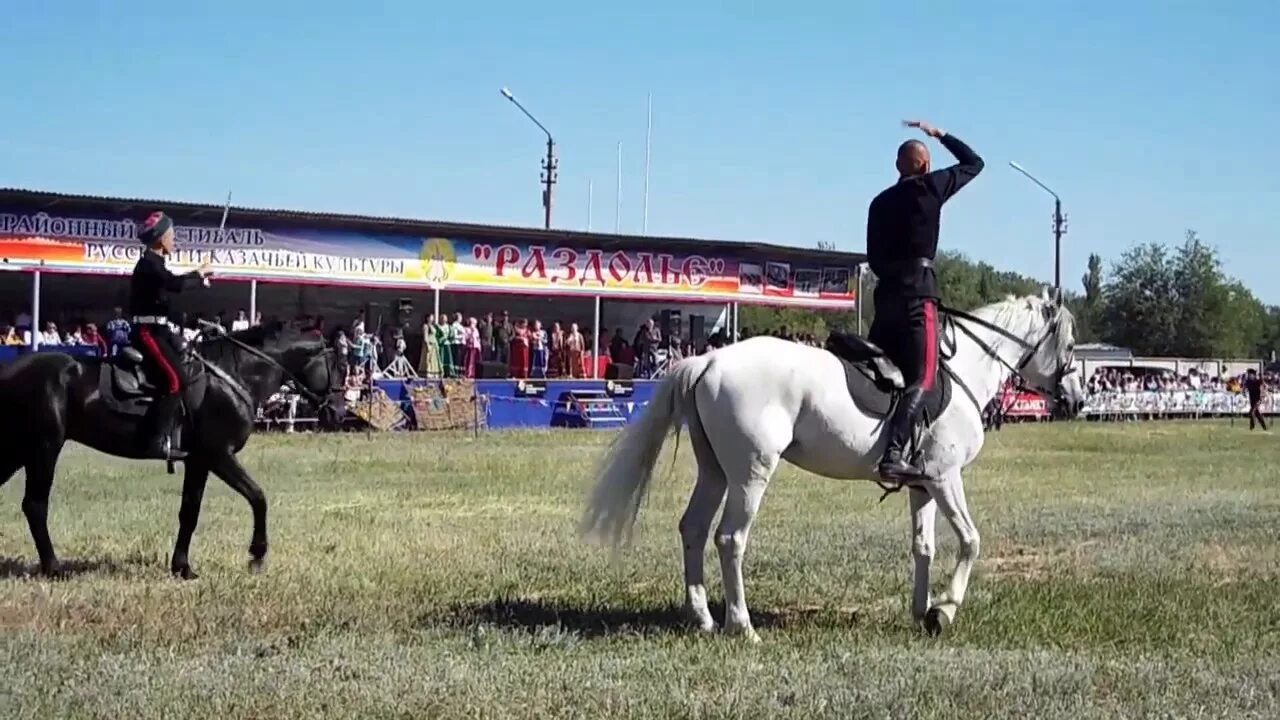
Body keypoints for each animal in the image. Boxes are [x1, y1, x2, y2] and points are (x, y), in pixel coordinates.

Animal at [0, 324, 340, 576]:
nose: (337, 410)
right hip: (43, 448)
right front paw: (257, 555)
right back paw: (53, 567)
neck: (235, 374)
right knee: (35, 505)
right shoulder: (218, 455)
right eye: (338, 364)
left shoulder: (198, 462)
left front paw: (182, 567)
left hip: (20, 450)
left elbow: (189, 511)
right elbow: (258, 497)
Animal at [586, 288, 1085, 635]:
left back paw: (705, 619)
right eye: (1070, 344)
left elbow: (924, 547)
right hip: (750, 472)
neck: (966, 372)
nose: (1076, 400)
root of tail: (708, 361)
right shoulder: (945, 479)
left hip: (716, 471)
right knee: (729, 538)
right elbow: (970, 541)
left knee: (692, 528)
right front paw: (944, 610)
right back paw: (742, 626)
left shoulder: (923, 486)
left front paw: (920, 611)